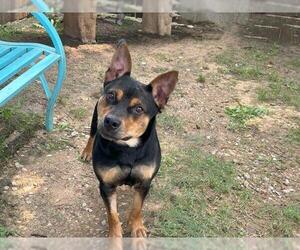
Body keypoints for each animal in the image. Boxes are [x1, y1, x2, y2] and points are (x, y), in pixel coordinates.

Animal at [79, 40, 178, 237]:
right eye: (111, 95)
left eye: (139, 109)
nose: (110, 121)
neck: (127, 148)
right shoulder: (106, 186)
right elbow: (112, 215)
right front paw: (115, 236)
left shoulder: (144, 183)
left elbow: (137, 207)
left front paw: (136, 226)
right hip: (95, 118)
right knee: (92, 134)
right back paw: (87, 151)